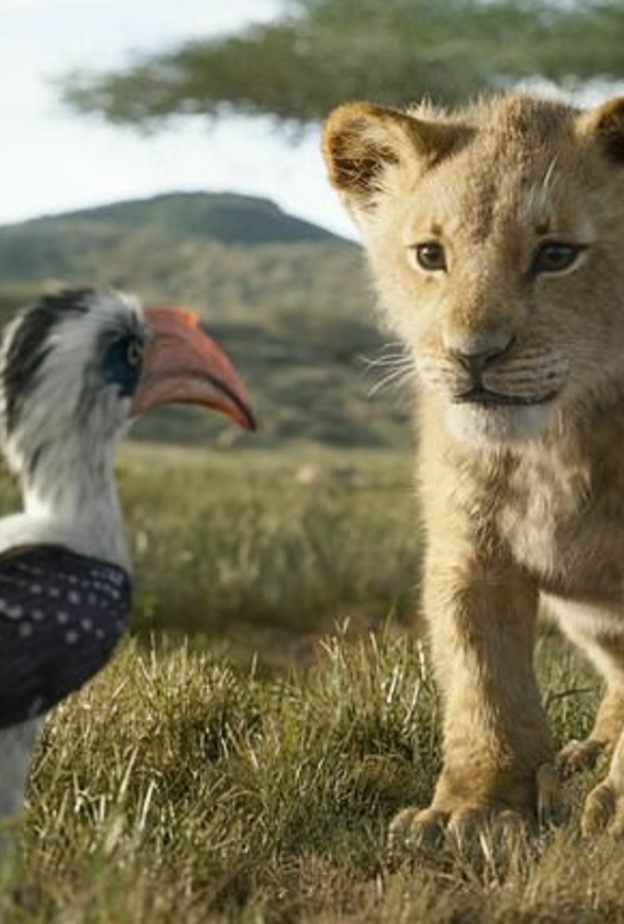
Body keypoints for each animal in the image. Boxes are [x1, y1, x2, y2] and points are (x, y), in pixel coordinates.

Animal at [322, 91, 624, 849]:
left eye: (556, 254)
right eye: (431, 255)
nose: (472, 355)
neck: (555, 445)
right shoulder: (470, 551)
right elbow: (483, 682)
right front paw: (474, 810)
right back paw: (586, 756)